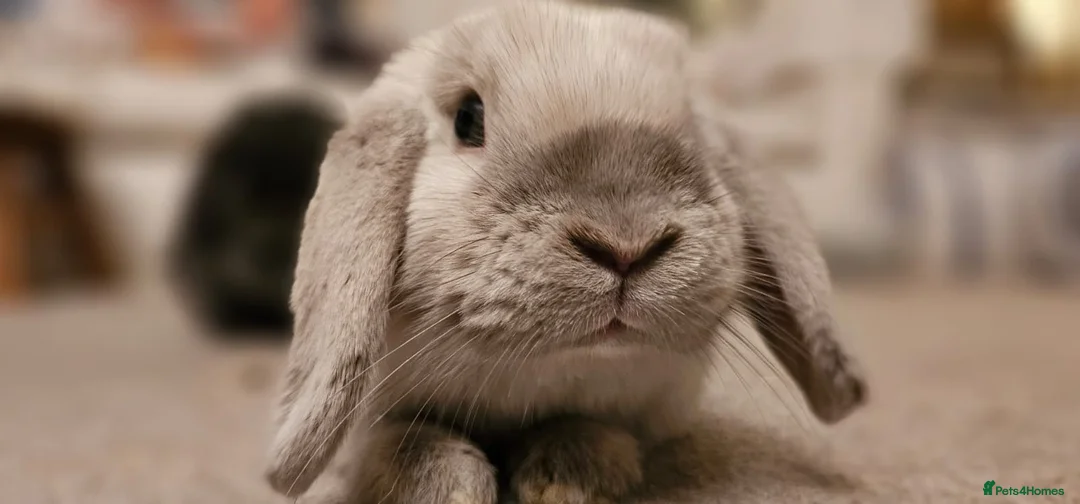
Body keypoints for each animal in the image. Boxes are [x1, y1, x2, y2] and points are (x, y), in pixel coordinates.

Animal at [265, 2, 868, 503]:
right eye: (468, 119)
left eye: (695, 132)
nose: (626, 245)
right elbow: (398, 439)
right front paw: (447, 485)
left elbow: (593, 429)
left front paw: (567, 476)